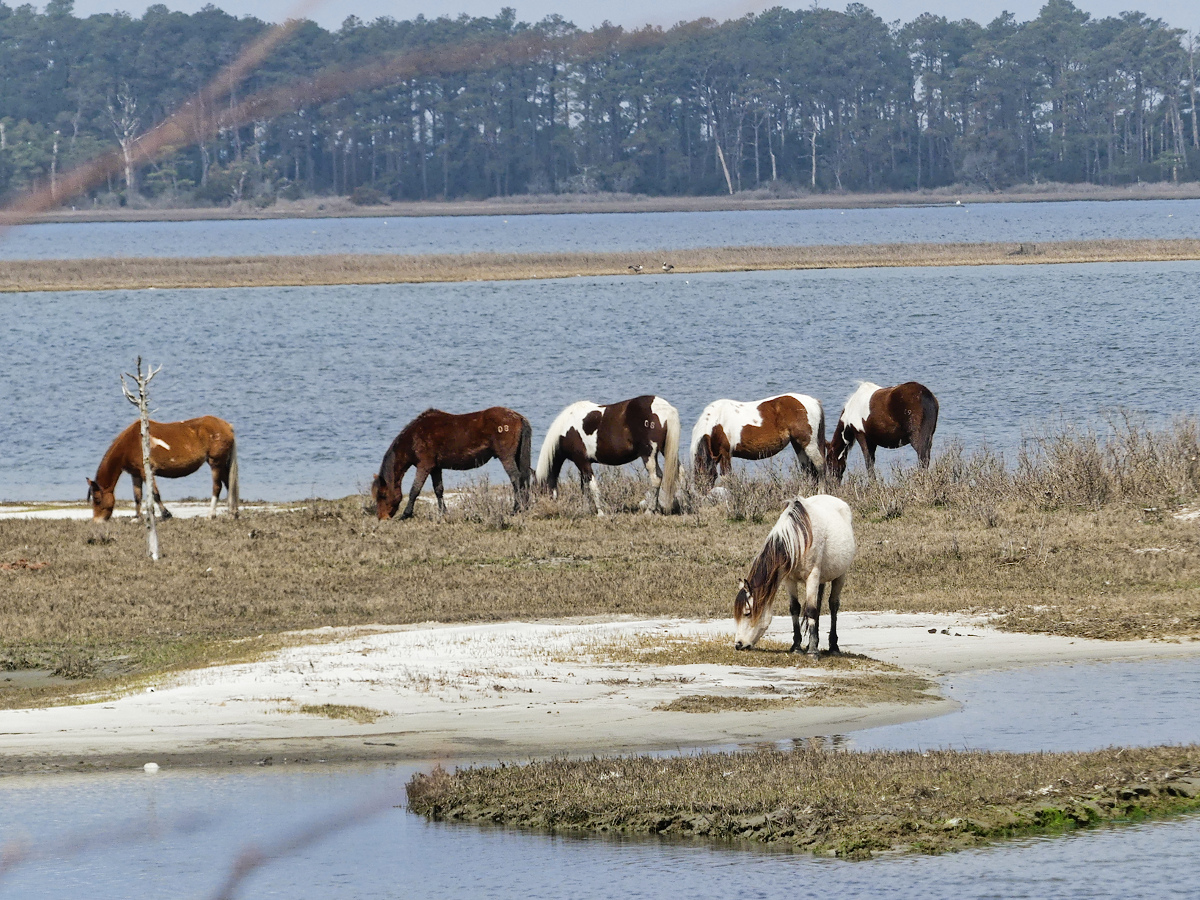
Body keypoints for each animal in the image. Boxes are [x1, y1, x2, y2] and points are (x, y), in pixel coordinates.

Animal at [85, 415, 237, 520]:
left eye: (97, 499)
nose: (97, 520)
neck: (131, 442)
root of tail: (227, 426)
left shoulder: (147, 472)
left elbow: (155, 494)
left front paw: (166, 514)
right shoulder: (136, 474)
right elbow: (137, 496)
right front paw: (137, 517)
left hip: (215, 463)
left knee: (217, 487)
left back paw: (211, 515)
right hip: (222, 464)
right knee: (229, 485)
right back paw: (232, 513)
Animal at [369, 408, 530, 520]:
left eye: (382, 495)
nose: (382, 518)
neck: (413, 437)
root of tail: (518, 417)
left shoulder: (424, 466)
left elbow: (415, 490)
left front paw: (406, 514)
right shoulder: (435, 468)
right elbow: (438, 490)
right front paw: (443, 512)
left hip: (506, 458)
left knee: (516, 479)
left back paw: (516, 509)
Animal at [537, 393, 686, 513]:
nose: (543, 507)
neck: (566, 429)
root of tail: (666, 409)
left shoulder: (582, 462)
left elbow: (592, 486)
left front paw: (600, 512)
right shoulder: (582, 464)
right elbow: (584, 487)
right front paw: (586, 510)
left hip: (648, 455)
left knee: (656, 478)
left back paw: (650, 511)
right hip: (665, 451)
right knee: (681, 474)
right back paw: (684, 505)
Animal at [691, 393, 830, 489]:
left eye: (713, 475)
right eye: (698, 475)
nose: (703, 494)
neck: (717, 421)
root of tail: (813, 402)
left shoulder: (725, 453)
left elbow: (726, 478)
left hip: (809, 444)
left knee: (820, 466)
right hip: (798, 445)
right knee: (806, 469)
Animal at [729, 496, 854, 657]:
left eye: (747, 612)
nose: (738, 644)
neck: (798, 539)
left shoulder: (812, 577)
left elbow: (811, 610)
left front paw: (812, 652)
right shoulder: (789, 579)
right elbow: (795, 608)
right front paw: (797, 647)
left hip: (840, 576)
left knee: (833, 605)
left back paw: (833, 647)